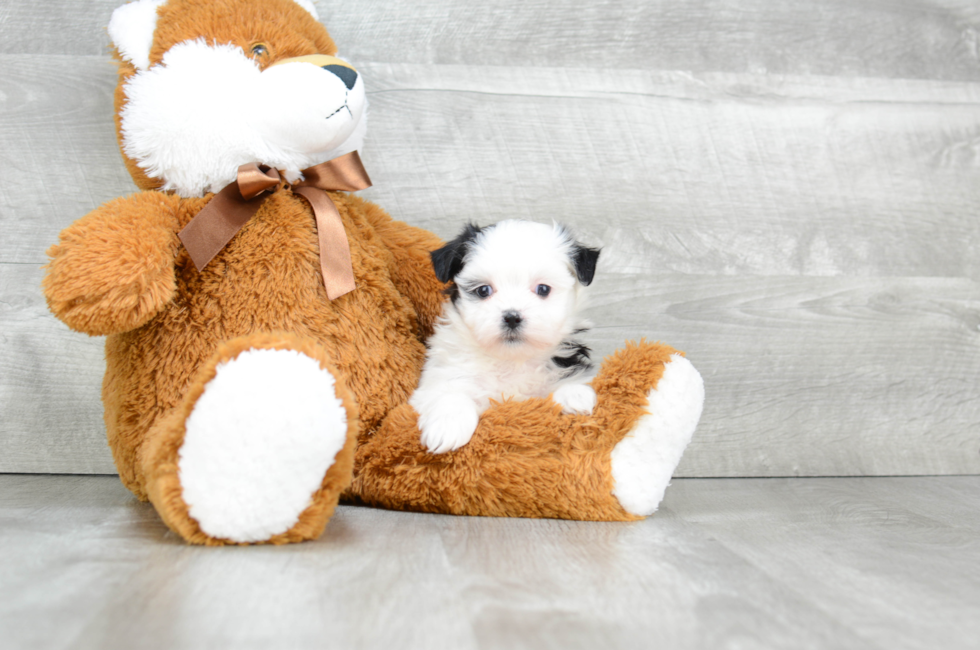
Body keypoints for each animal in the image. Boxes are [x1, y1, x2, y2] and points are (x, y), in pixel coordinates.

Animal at [410, 220, 600, 454]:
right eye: (483, 290)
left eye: (543, 289)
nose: (512, 317)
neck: (511, 359)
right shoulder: (441, 377)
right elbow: (450, 393)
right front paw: (448, 425)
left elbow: (569, 380)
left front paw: (574, 394)